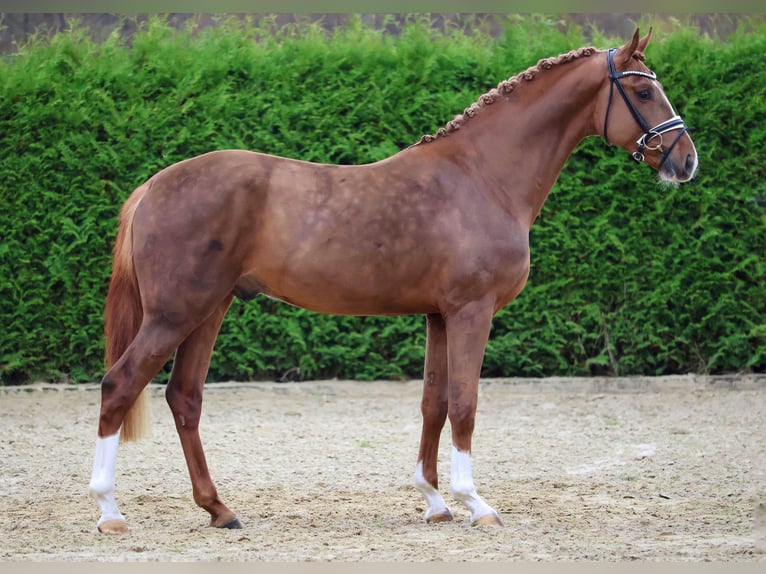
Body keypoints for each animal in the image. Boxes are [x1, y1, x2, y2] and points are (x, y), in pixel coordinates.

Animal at [88, 28, 696, 536]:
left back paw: (220, 509)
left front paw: (434, 501)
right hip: (175, 314)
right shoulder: (472, 311)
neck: (481, 176)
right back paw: (110, 511)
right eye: (643, 91)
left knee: (184, 398)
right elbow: (466, 403)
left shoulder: (438, 316)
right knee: (120, 385)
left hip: (208, 310)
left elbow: (434, 402)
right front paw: (475, 503)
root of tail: (152, 187)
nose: (686, 161)